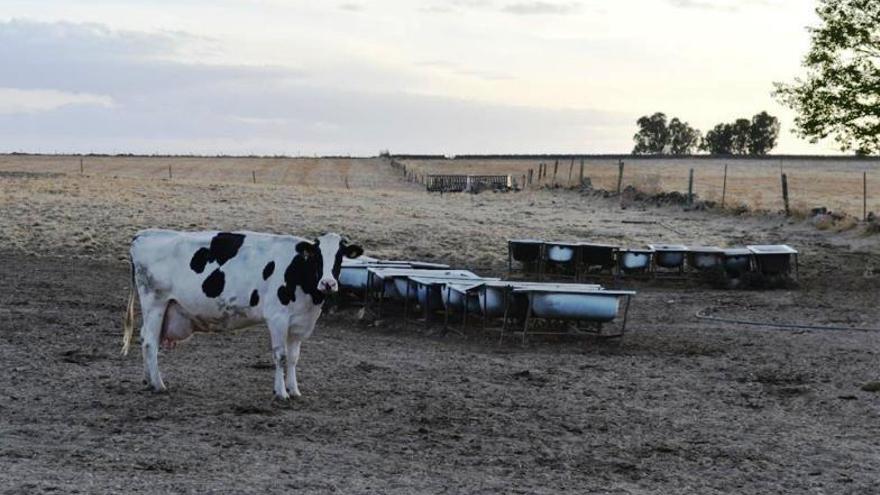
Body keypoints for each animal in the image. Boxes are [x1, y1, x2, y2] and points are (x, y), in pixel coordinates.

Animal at [122, 230, 362, 400]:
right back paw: (159, 384)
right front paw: (281, 393)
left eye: (340, 256)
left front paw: (294, 390)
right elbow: (280, 356)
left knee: (144, 338)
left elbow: (294, 357)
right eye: (317, 256)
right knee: (150, 342)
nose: (328, 283)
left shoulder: (298, 323)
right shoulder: (277, 318)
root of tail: (143, 234)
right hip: (155, 302)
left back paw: (147, 380)